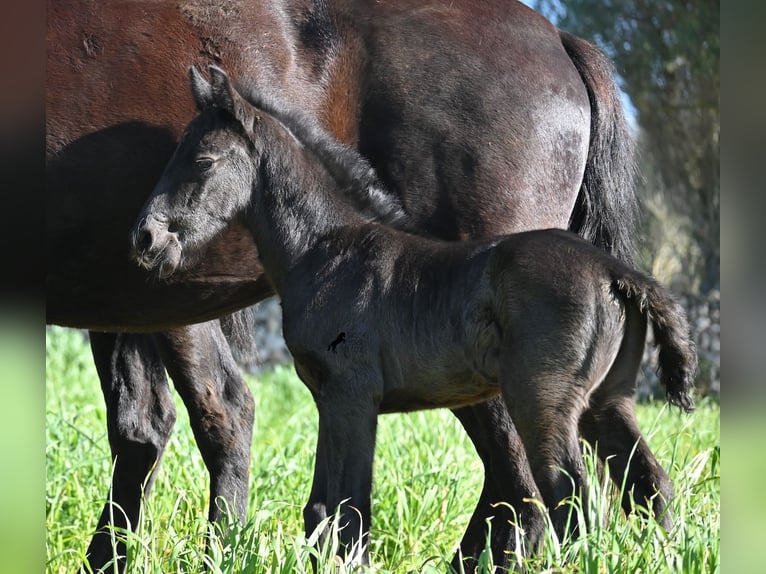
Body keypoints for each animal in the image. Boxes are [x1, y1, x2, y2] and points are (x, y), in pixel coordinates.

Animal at [130, 65, 695, 566]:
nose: (146, 238)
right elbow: (320, 510)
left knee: (572, 499)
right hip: (607, 402)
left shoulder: (354, 395)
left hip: (545, 403)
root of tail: (615, 272)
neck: (327, 248)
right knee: (650, 487)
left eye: (204, 160)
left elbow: (350, 511)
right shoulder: (328, 398)